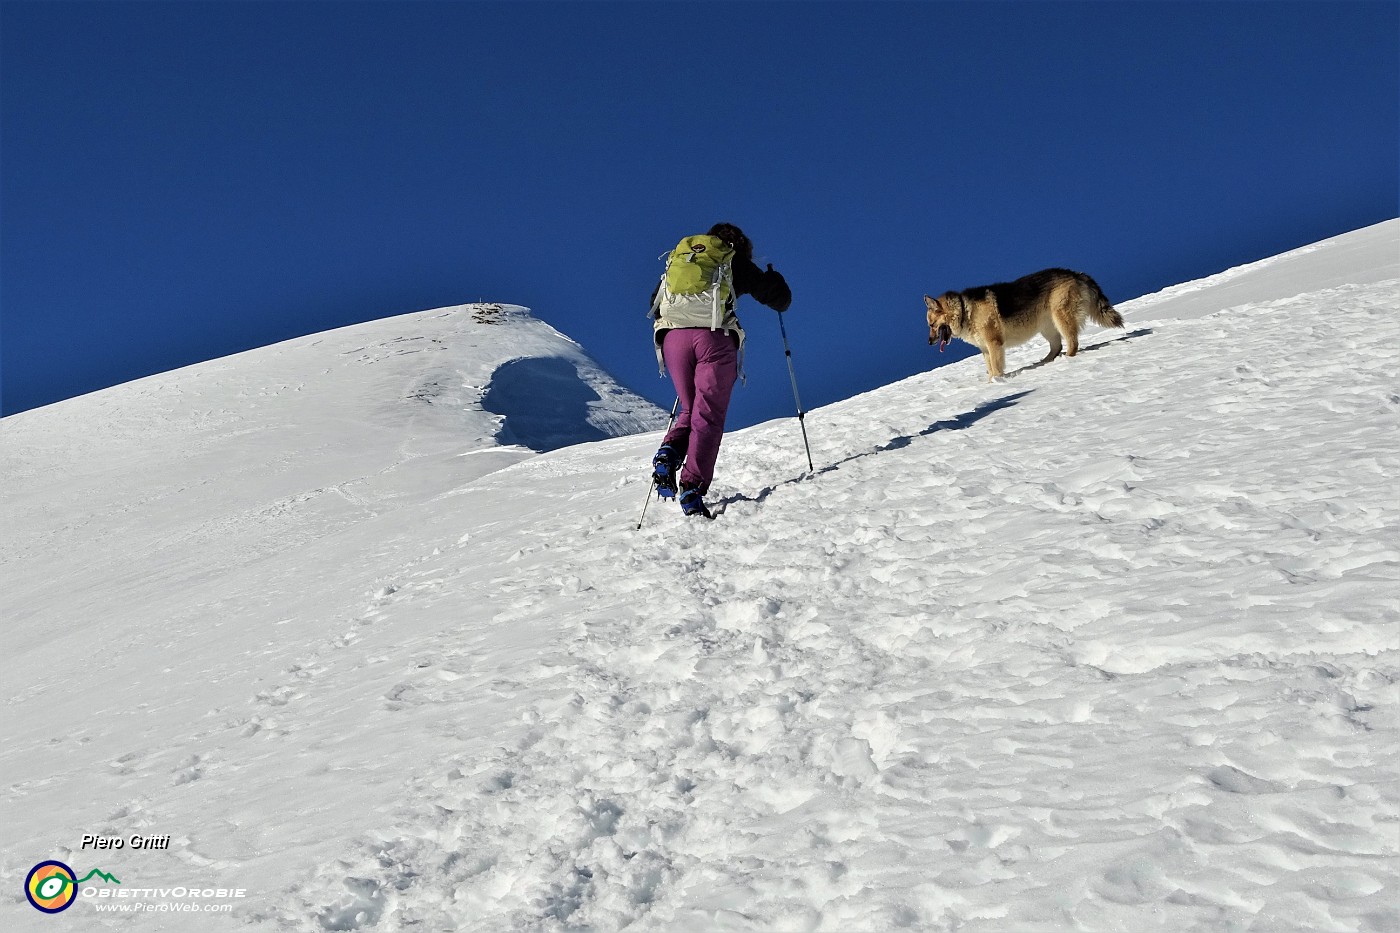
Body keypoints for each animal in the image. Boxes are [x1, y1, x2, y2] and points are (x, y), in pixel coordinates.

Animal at [929, 267, 1125, 381]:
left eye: (931, 324)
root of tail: (1076, 273)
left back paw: (1066, 359)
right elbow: (990, 369)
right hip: (1047, 327)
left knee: (1072, 343)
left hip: (1061, 318)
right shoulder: (985, 349)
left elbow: (996, 369)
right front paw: (991, 384)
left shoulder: (994, 344)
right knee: (1057, 346)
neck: (964, 310)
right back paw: (1044, 362)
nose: (929, 342)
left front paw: (998, 382)